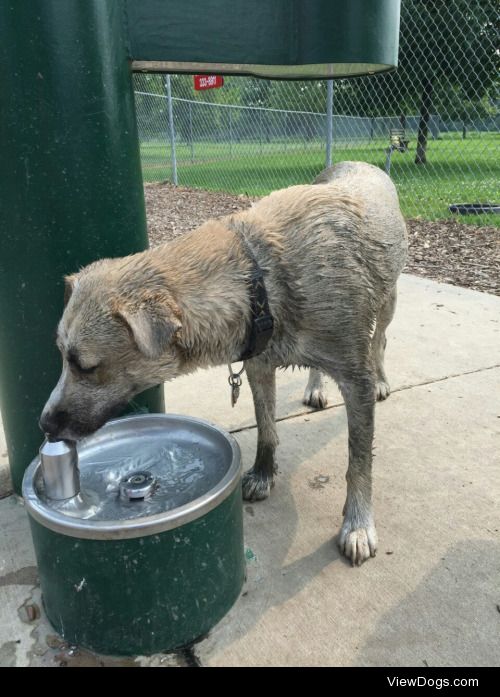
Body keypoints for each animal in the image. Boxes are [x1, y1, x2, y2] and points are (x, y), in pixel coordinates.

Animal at [39, 160, 406, 564]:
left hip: (388, 300)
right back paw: (314, 386)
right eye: (62, 356)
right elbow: (266, 429)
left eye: (85, 365)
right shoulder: (260, 365)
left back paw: (382, 378)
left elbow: (358, 461)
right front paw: (263, 473)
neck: (260, 277)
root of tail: (361, 163)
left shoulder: (355, 380)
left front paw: (358, 523)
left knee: (381, 338)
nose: (44, 424)